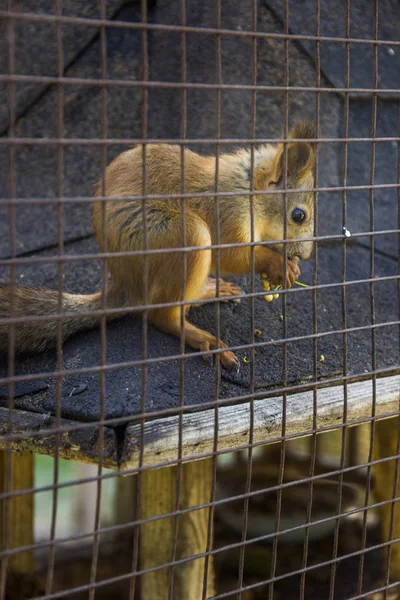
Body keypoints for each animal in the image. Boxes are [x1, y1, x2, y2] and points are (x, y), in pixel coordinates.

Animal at [0, 122, 316, 370]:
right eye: (298, 215)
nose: (306, 255)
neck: (247, 189)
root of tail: (126, 286)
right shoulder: (226, 214)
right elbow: (230, 254)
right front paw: (277, 264)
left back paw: (210, 291)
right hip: (183, 236)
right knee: (160, 315)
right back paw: (202, 338)